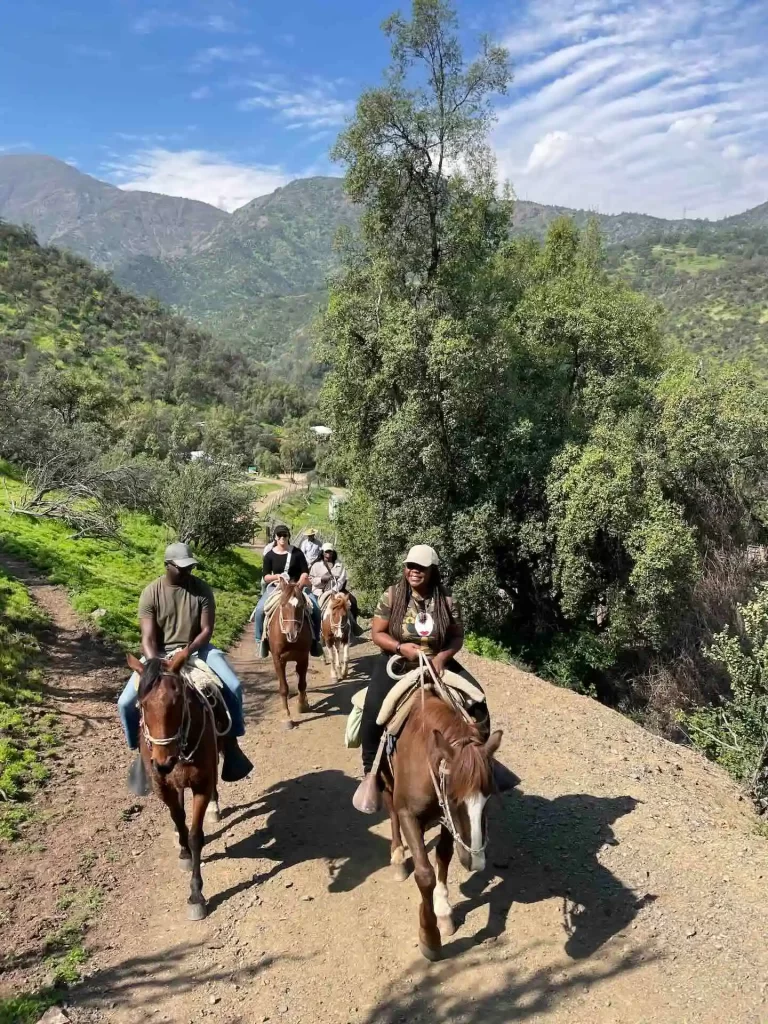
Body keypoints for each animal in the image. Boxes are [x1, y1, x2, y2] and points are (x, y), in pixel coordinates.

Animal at [126, 651, 225, 925]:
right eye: (142, 704)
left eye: (178, 701)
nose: (163, 762)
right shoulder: (163, 788)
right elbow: (178, 819)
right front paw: (183, 851)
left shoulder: (201, 785)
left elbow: (195, 835)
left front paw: (196, 895)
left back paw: (214, 807)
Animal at [268, 577, 309, 729]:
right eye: (282, 604)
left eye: (301, 605)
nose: (292, 634)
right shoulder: (278, 660)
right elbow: (283, 688)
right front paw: (286, 716)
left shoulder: (303, 657)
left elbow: (302, 683)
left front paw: (302, 705)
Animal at [385, 688, 505, 958]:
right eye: (453, 797)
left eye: (489, 796)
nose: (475, 862)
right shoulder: (409, 814)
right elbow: (424, 873)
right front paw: (430, 938)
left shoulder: (448, 820)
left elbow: (443, 855)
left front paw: (443, 911)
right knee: (389, 806)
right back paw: (398, 856)